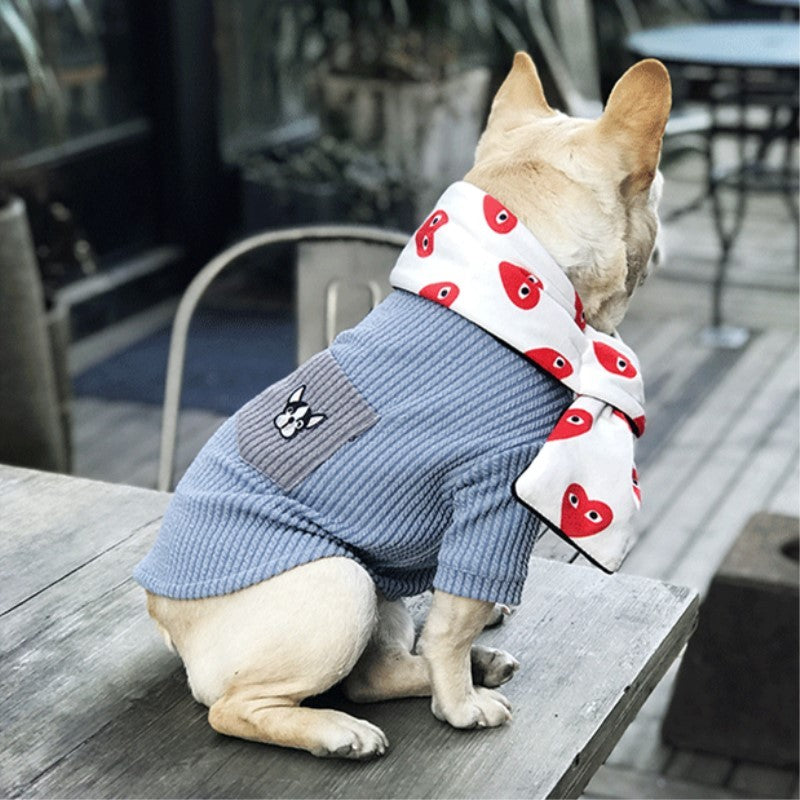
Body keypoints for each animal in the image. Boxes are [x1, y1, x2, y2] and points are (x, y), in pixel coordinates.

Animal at [138, 53, 668, 760]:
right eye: (657, 192)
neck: (521, 273)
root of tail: (164, 616)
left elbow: (452, 609)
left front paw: (468, 663)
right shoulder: (493, 498)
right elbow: (455, 618)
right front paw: (460, 706)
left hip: (376, 594)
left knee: (373, 674)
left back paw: (472, 667)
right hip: (342, 587)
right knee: (237, 708)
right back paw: (340, 731)